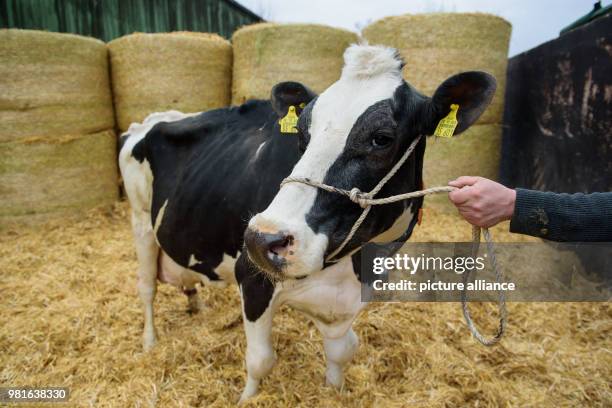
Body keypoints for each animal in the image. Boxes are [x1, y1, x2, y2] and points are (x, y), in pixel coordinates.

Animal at [119, 43, 498, 400]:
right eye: (302, 135)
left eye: (382, 138)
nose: (263, 239)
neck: (354, 264)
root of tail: (157, 117)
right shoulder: (251, 275)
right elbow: (260, 360)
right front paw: (247, 398)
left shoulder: (348, 298)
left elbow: (343, 351)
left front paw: (334, 391)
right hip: (140, 220)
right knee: (147, 287)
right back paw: (150, 341)